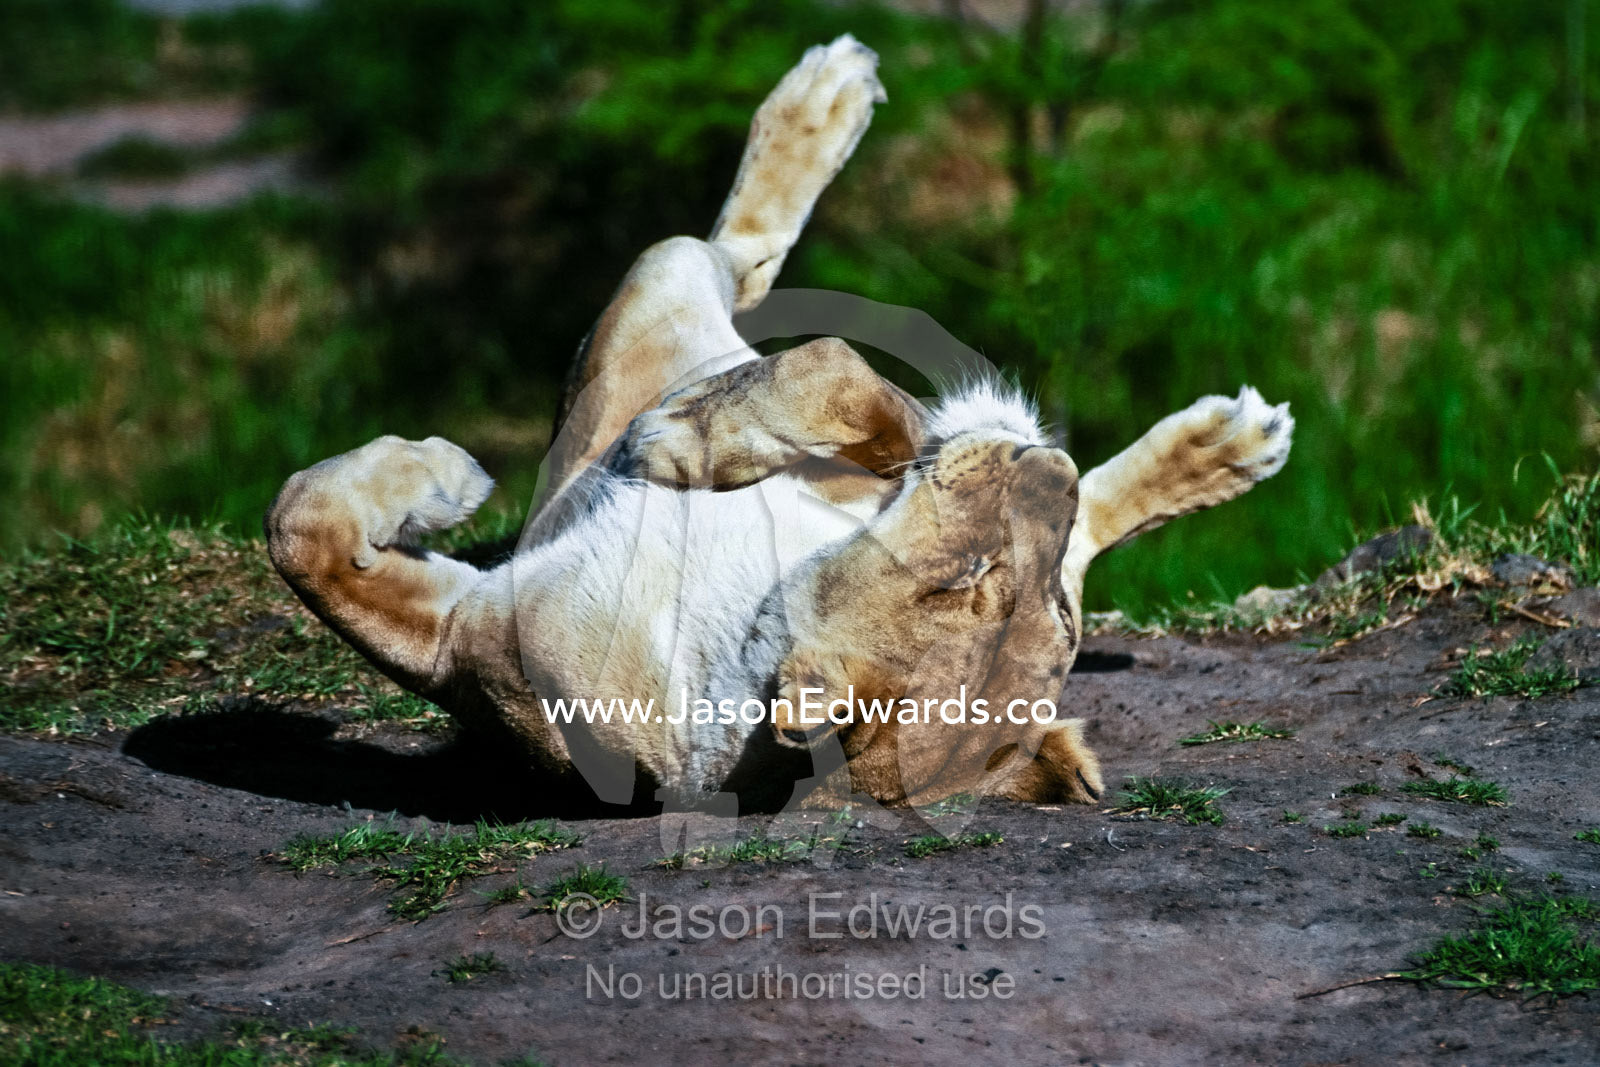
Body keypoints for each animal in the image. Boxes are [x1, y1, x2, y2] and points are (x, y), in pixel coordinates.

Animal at [265, 36, 1292, 813]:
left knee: (731, 253)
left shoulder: (466, 649)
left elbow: (301, 531)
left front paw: (444, 477)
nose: (1049, 472)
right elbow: (844, 376)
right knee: (745, 266)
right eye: (978, 582)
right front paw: (692, 437)